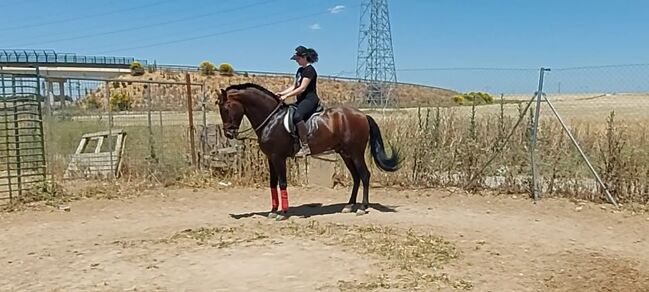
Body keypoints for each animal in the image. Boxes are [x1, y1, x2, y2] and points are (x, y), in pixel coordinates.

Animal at [218, 82, 400, 219]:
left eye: (226, 108)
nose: (229, 133)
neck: (271, 119)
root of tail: (362, 115)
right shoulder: (271, 158)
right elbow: (272, 183)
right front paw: (273, 210)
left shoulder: (278, 157)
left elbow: (282, 183)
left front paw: (283, 213)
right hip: (345, 153)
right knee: (356, 177)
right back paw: (349, 205)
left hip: (356, 153)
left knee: (364, 175)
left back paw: (362, 207)